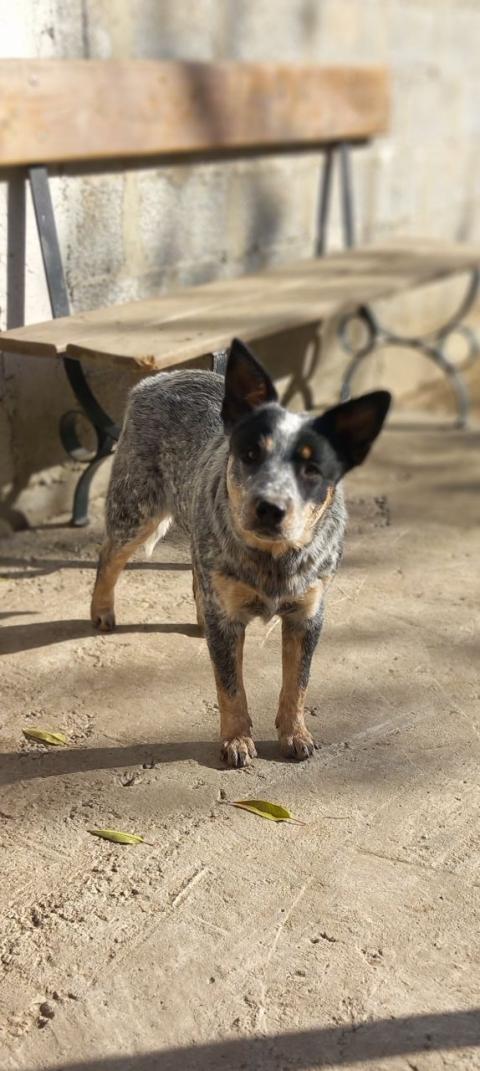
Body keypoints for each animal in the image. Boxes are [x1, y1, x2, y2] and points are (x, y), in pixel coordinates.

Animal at [91, 338, 390, 766]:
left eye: (312, 469)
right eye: (250, 454)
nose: (269, 507)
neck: (274, 557)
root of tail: (159, 378)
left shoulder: (307, 616)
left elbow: (297, 683)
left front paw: (295, 734)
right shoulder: (230, 620)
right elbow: (230, 686)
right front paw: (235, 740)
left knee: (195, 576)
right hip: (137, 508)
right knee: (109, 555)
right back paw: (102, 611)